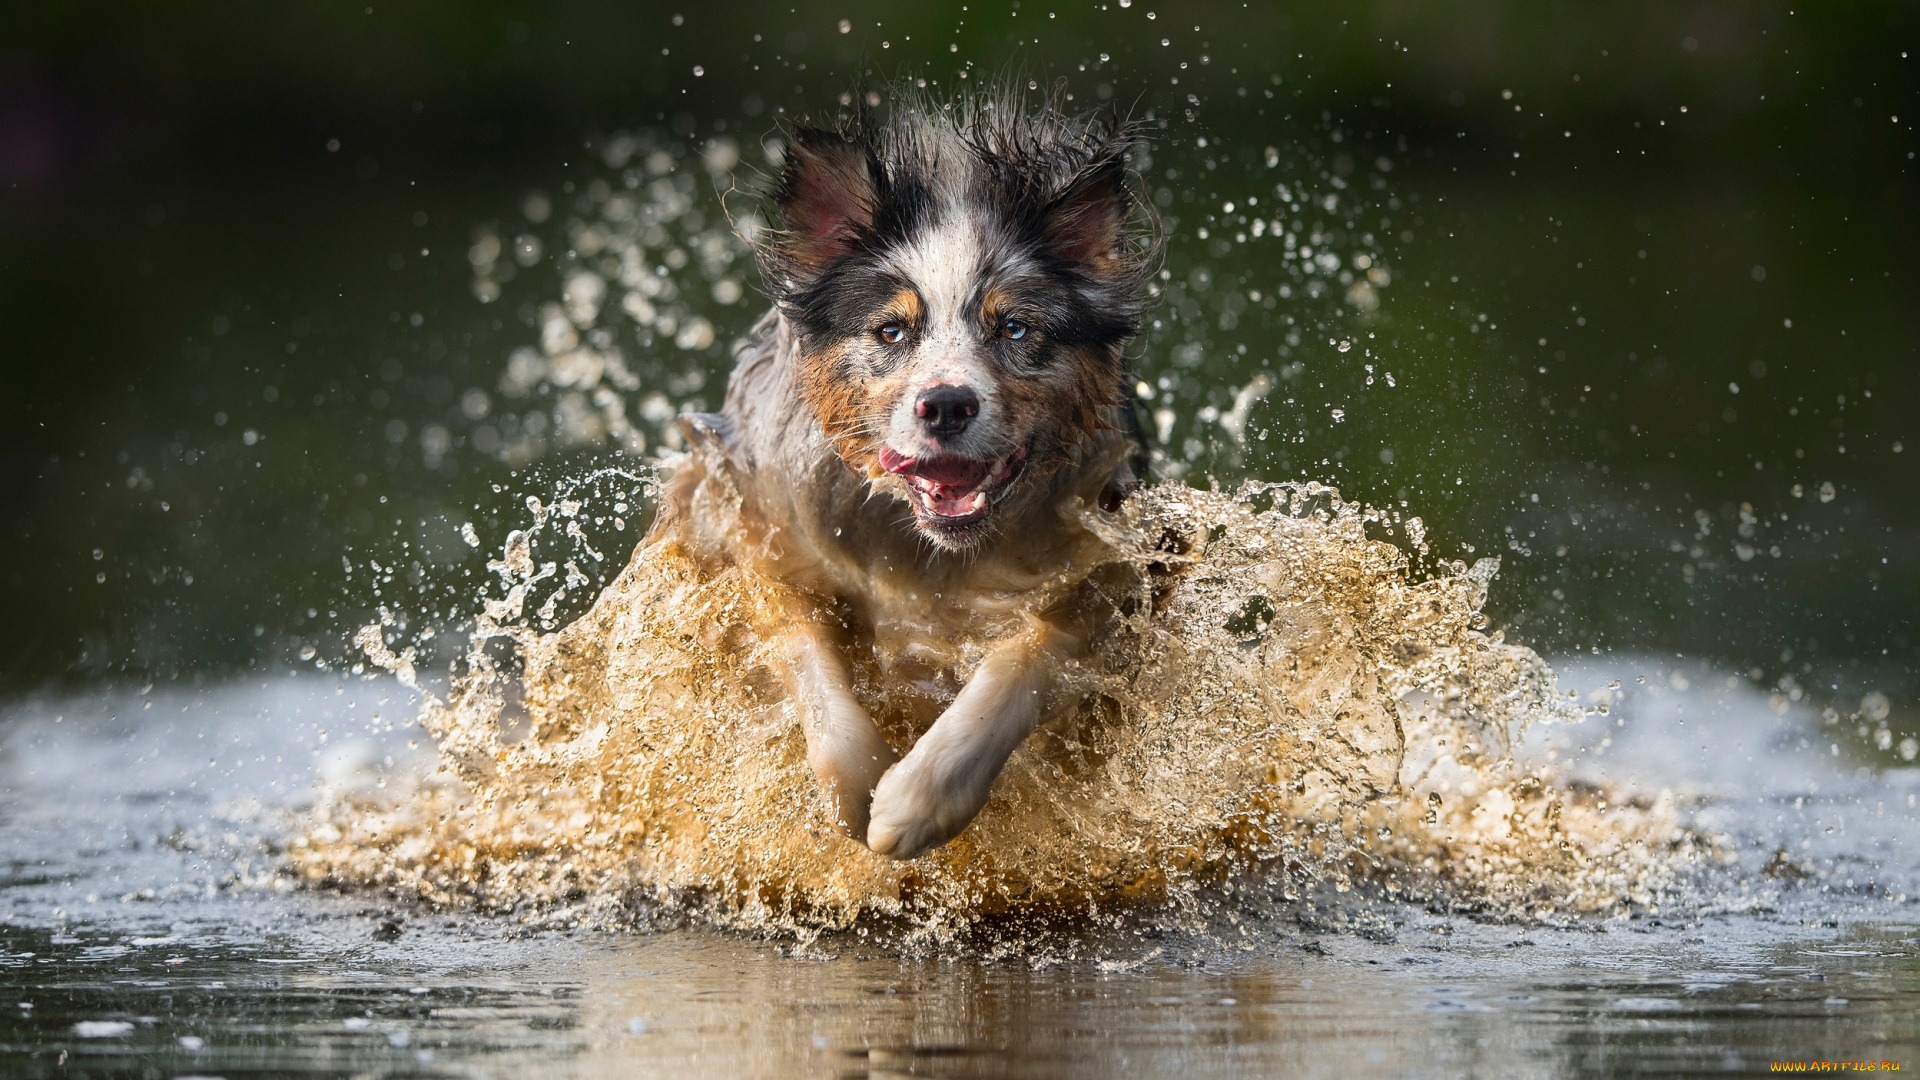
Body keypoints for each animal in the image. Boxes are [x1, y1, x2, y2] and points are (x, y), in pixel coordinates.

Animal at [652, 85, 1152, 857]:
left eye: (1015, 328)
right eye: (891, 330)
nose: (945, 404)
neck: (925, 550)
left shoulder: (1115, 554)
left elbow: (1028, 655)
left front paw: (916, 801)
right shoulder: (751, 520)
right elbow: (802, 643)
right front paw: (858, 788)